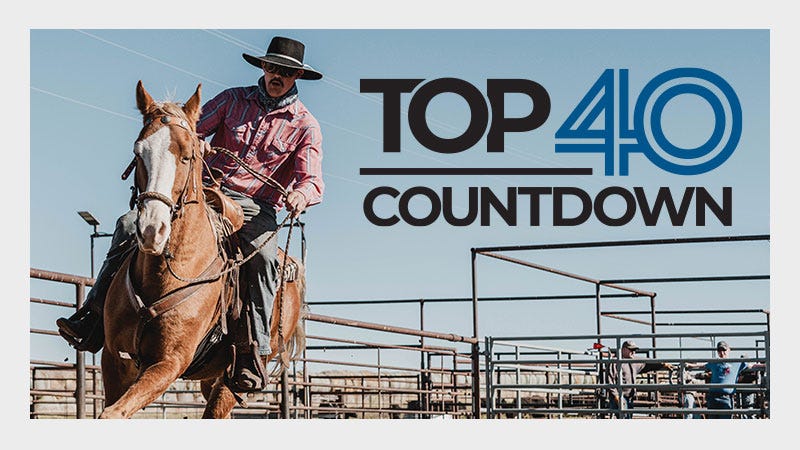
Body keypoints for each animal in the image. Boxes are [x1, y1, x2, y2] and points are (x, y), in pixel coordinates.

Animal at [100, 80, 306, 418]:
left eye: (187, 156)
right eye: (138, 152)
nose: (152, 230)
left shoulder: (168, 363)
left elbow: (113, 413)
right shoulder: (113, 357)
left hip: (235, 378)